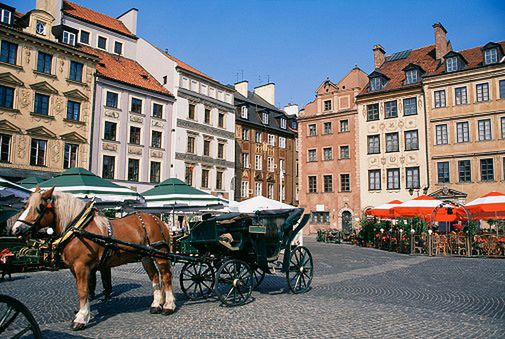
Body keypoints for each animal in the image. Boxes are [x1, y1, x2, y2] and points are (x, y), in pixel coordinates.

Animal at [11, 187, 175, 330]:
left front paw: (81, 318)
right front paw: (82, 313)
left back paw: (168, 305)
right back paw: (156, 305)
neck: (77, 229)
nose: (15, 229)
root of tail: (158, 220)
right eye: (25, 206)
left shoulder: (81, 266)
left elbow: (83, 290)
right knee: (155, 276)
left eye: (39, 207)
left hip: (160, 255)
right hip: (146, 256)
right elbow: (84, 289)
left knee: (166, 276)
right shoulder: (74, 268)